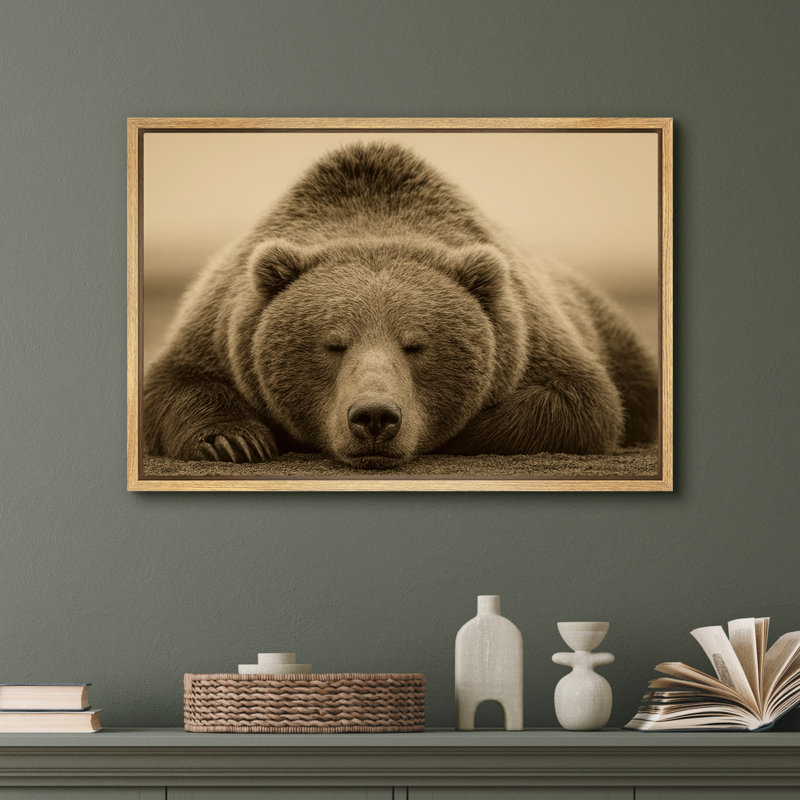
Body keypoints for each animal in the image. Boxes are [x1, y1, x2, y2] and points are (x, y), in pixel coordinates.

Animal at [143, 141, 657, 469]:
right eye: (333, 344)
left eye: (416, 345)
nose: (374, 417)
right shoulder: (222, 325)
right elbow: (174, 383)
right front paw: (235, 440)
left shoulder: (530, 333)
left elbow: (582, 403)